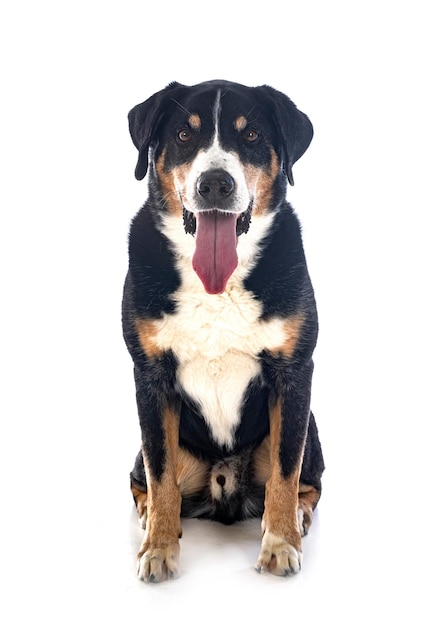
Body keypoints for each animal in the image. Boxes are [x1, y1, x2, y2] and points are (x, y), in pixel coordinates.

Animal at [122, 78, 324, 580]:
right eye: (183, 134)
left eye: (250, 134)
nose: (215, 183)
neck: (217, 286)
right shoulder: (149, 376)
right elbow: (160, 472)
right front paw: (159, 549)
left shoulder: (294, 373)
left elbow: (285, 471)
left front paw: (280, 543)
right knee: (145, 480)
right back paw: (150, 516)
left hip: (309, 423)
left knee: (305, 481)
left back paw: (298, 514)